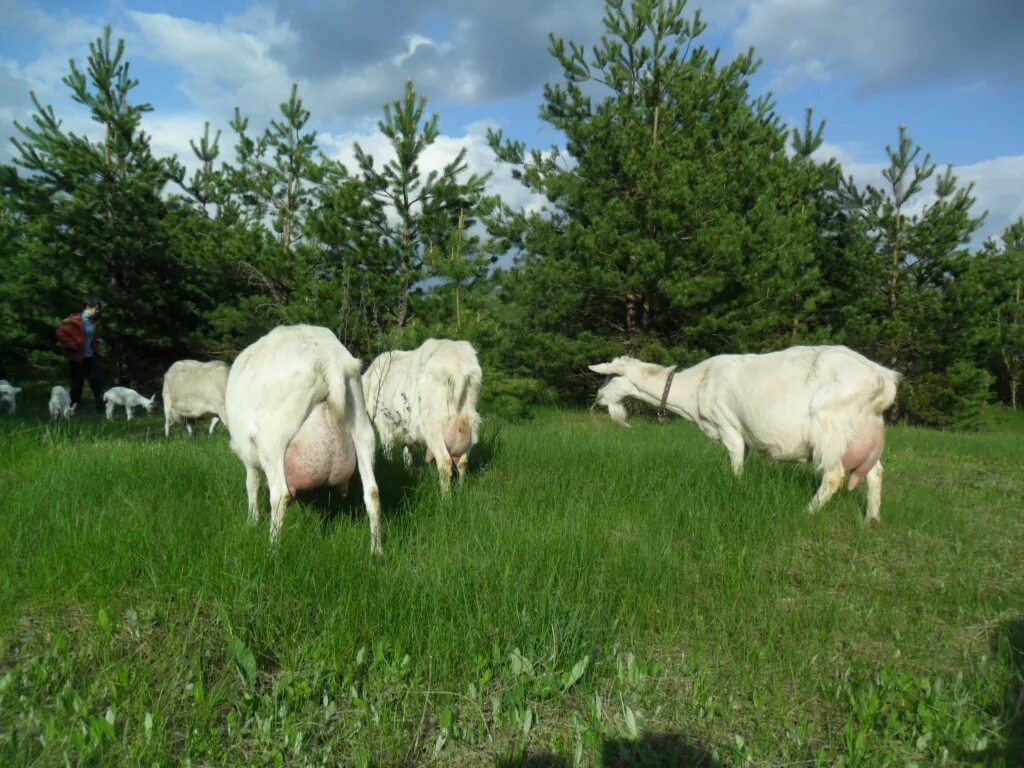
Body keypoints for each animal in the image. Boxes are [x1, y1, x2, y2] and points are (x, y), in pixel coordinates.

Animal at [226, 325, 382, 552]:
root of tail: (328, 359)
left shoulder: (249, 455)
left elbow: (251, 484)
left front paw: (252, 521)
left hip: (273, 439)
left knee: (279, 495)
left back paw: (272, 549)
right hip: (362, 427)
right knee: (372, 492)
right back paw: (377, 551)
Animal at [364, 337, 483, 493]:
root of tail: (458, 369)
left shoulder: (384, 427)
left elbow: (388, 451)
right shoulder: (407, 432)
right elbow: (407, 452)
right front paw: (407, 469)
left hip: (435, 428)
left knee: (445, 462)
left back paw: (445, 496)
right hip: (471, 426)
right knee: (463, 462)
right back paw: (461, 490)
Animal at [589, 348, 901, 524]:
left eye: (610, 376)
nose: (598, 398)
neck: (695, 385)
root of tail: (882, 378)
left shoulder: (729, 427)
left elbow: (736, 464)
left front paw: (735, 489)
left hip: (831, 426)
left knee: (835, 475)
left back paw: (806, 514)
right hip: (864, 430)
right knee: (876, 473)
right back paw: (872, 519)